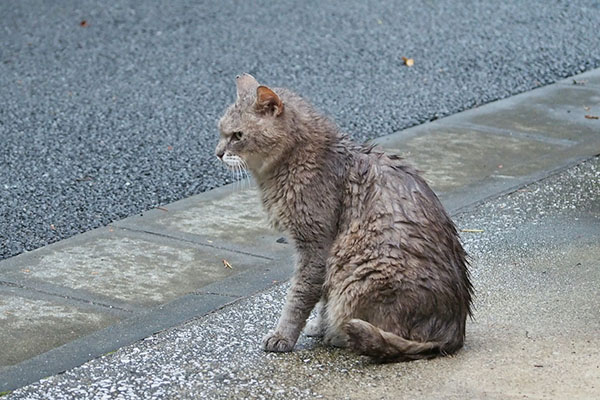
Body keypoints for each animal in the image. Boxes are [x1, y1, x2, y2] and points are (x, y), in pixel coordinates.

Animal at [216, 73, 474, 360]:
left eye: (237, 135)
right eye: (221, 132)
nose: (217, 153)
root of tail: (452, 335)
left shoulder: (316, 248)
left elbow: (298, 298)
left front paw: (284, 336)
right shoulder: (320, 257)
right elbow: (321, 298)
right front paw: (319, 325)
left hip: (361, 269)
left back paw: (342, 335)